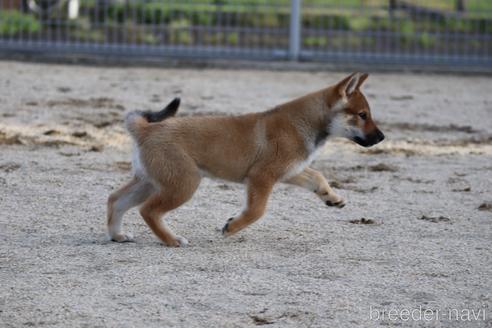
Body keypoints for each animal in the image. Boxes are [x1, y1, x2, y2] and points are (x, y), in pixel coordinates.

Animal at [106, 72, 384, 246]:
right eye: (362, 115)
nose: (381, 137)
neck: (304, 122)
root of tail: (145, 129)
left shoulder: (290, 171)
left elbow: (318, 177)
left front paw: (332, 198)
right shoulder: (262, 177)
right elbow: (256, 211)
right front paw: (232, 226)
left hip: (151, 181)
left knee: (116, 200)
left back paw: (117, 235)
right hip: (183, 184)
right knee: (148, 210)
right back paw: (172, 240)